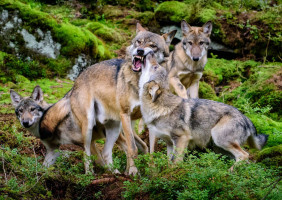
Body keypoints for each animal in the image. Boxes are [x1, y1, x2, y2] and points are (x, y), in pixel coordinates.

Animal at [68, 23, 176, 175]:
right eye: (138, 42)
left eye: (153, 46)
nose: (140, 51)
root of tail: (76, 82)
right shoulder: (125, 114)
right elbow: (132, 148)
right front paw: (133, 172)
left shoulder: (148, 120)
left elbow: (150, 150)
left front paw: (151, 172)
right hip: (90, 126)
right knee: (87, 151)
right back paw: (89, 174)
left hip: (115, 128)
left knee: (107, 151)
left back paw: (115, 173)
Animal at [140, 51, 268, 166]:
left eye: (156, 66)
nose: (150, 52)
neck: (160, 108)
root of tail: (246, 118)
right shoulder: (170, 144)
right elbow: (168, 162)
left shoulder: (182, 138)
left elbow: (175, 162)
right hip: (219, 148)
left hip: (220, 139)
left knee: (244, 155)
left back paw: (229, 172)